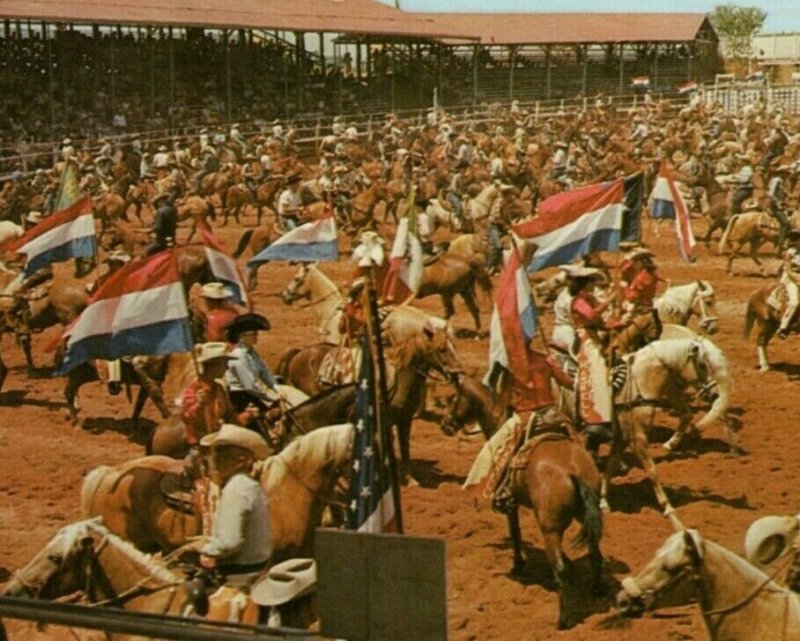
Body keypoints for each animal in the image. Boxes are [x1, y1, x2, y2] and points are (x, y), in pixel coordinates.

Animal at [440, 372, 604, 628]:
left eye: (452, 398)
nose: (445, 425)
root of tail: (574, 471)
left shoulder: (511, 504)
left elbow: (515, 532)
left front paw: (517, 564)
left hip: (550, 528)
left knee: (560, 569)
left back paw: (562, 620)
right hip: (586, 516)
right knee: (596, 554)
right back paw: (597, 589)